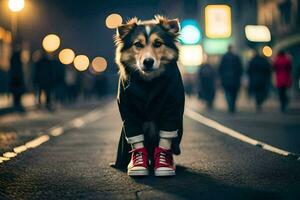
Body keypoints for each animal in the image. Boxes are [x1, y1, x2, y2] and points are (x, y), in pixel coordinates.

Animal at [113, 16, 185, 172]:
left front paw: (164, 163)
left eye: (158, 43)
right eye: (138, 44)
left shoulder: (172, 107)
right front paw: (138, 164)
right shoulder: (128, 110)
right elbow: (136, 137)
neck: (149, 82)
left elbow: (166, 137)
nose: (148, 62)